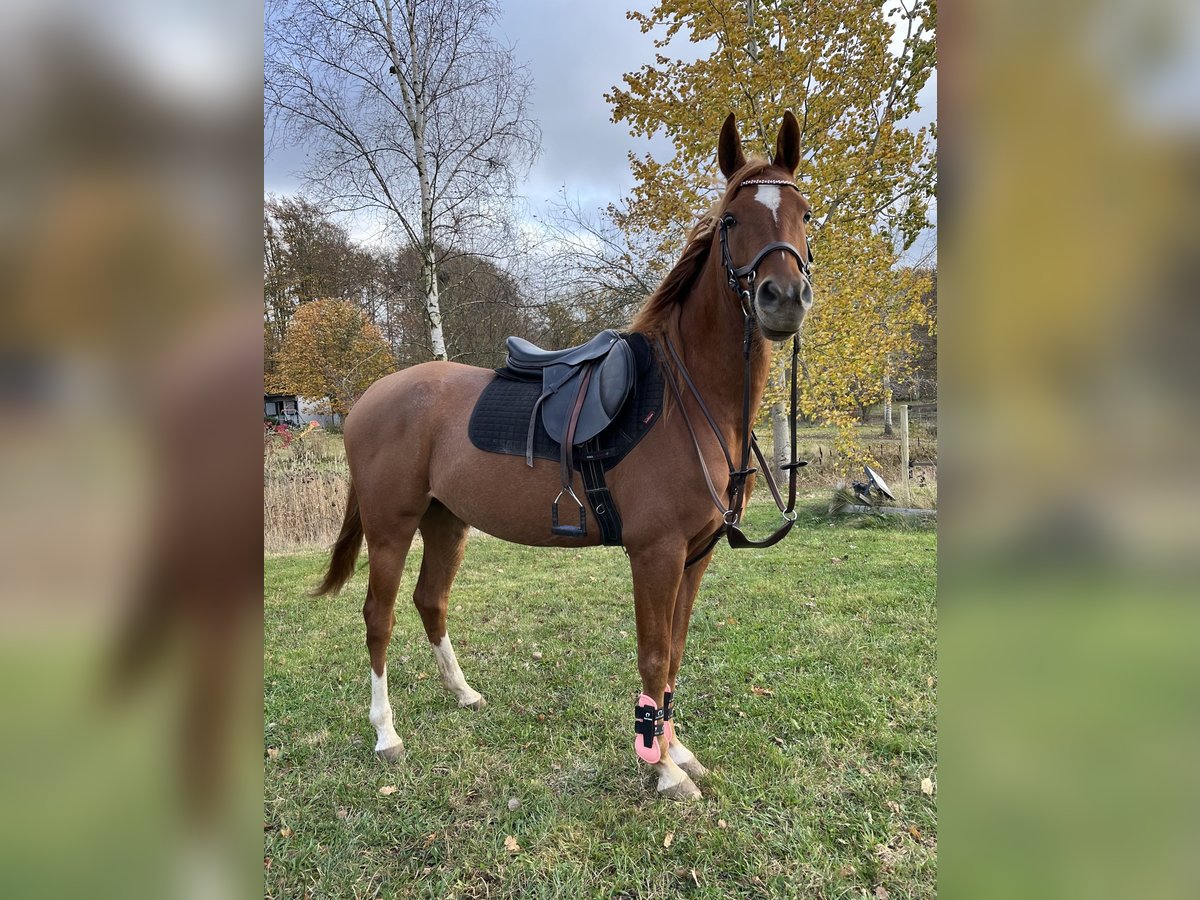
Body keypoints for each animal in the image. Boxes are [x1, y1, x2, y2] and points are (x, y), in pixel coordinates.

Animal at [316, 114, 816, 801]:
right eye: (733, 219)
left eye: (805, 213)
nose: (783, 297)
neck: (687, 397)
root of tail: (367, 398)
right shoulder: (656, 554)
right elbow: (653, 655)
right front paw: (661, 769)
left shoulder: (695, 557)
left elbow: (675, 653)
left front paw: (678, 751)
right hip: (391, 528)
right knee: (378, 616)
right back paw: (386, 733)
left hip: (447, 522)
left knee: (429, 601)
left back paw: (463, 693)